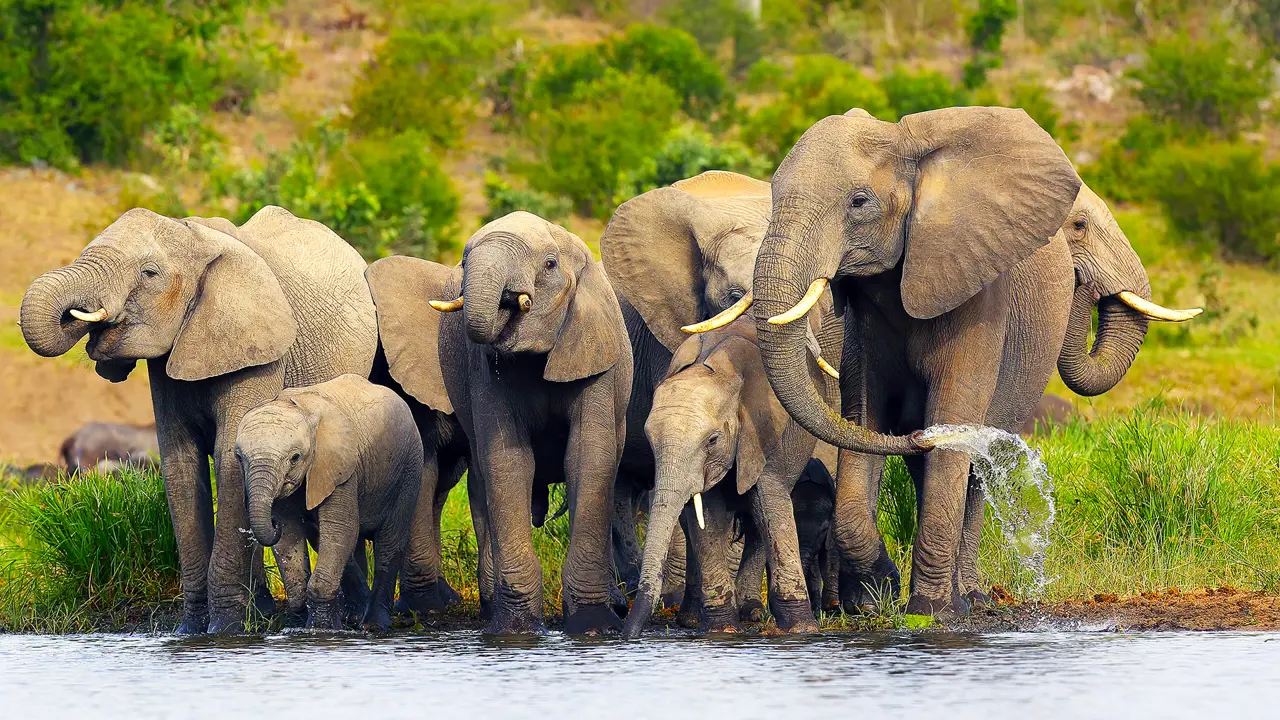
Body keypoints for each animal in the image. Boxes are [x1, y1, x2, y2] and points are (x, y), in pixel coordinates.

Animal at [19, 206, 379, 633]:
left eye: (150, 273)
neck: (195, 236)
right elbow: (181, 468)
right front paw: (189, 630)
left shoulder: (258, 351)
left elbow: (229, 460)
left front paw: (223, 630)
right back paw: (265, 611)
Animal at [236, 374, 423, 631]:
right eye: (238, 458)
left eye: (295, 458)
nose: (273, 523)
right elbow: (290, 538)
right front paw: (296, 627)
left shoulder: (340, 467)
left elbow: (340, 529)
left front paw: (320, 629)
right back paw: (355, 615)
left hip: (408, 469)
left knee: (389, 542)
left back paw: (373, 625)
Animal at [429, 211, 633, 635]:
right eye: (464, 259)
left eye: (550, 264)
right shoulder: (485, 371)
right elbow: (509, 462)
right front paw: (515, 629)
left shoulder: (595, 356)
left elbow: (588, 458)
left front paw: (593, 625)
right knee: (481, 480)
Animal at [623, 317, 835, 637]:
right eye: (649, 440)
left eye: (712, 440)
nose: (627, 635)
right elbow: (707, 517)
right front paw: (723, 629)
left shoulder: (763, 433)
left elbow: (770, 504)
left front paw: (801, 629)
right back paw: (695, 619)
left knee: (759, 520)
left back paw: (752, 613)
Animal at [713, 106, 1200, 617]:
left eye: (859, 202)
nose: (1084, 284)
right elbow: (863, 417)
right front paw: (878, 596)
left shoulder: (979, 293)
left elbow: (953, 418)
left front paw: (928, 611)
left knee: (976, 473)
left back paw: (969, 598)